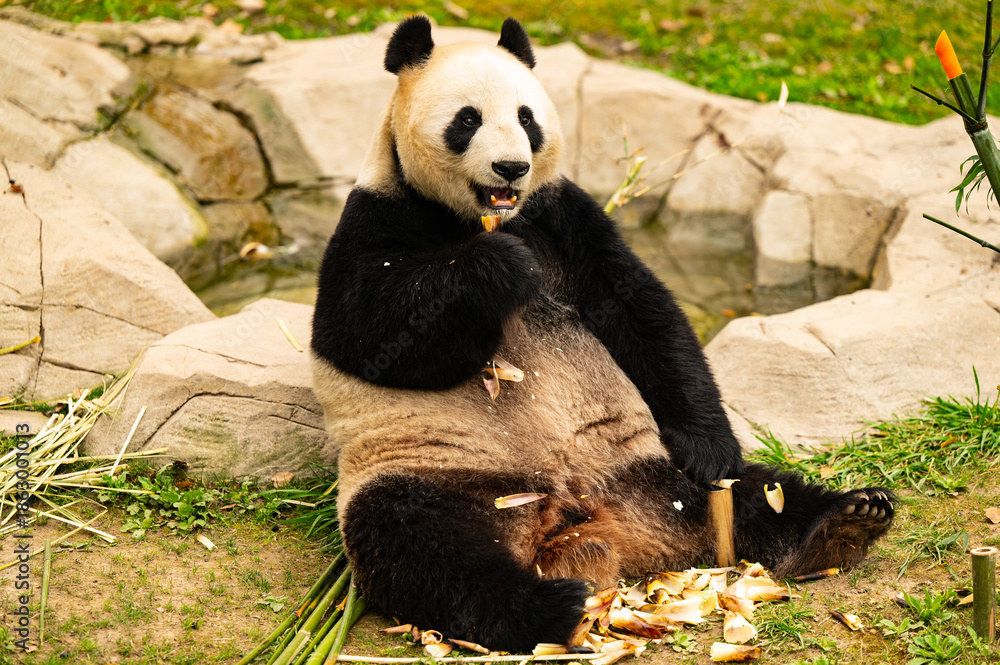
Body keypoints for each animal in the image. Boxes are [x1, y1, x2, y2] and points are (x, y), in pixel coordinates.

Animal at [310, 16, 894, 653]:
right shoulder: (375, 217)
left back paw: (846, 521)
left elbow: (642, 313)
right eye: (467, 120)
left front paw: (711, 444)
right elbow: (370, 334)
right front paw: (500, 267)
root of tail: (588, 521)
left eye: (526, 118)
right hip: (437, 472)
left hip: (647, 467)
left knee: (757, 494)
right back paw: (546, 607)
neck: (479, 217)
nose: (511, 168)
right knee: (423, 547)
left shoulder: (561, 213)